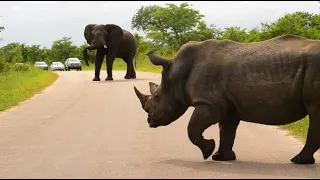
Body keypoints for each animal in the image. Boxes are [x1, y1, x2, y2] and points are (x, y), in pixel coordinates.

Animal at [132, 33, 320, 165]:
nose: (149, 121)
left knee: (314, 112)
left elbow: (192, 128)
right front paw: (221, 157)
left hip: (313, 70)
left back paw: (298, 161)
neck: (178, 74)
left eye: (157, 97)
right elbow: (227, 130)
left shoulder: (209, 103)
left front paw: (208, 151)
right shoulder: (228, 106)